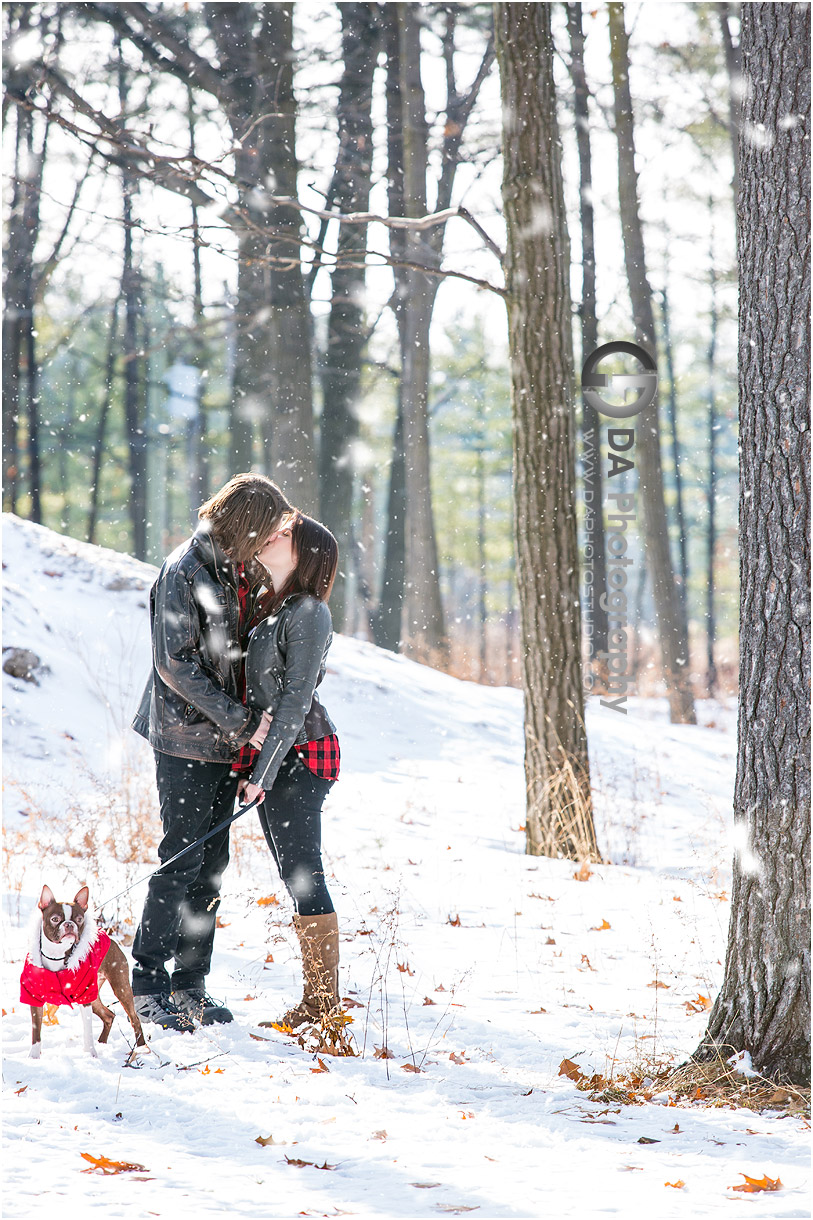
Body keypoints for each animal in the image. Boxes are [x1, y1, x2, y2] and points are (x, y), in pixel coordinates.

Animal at [21, 883, 148, 1063]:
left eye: (79, 919)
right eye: (55, 919)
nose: (69, 924)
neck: (57, 955)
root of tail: (110, 938)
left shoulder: (84, 999)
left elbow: (87, 1031)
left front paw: (90, 1054)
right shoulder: (35, 999)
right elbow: (36, 1031)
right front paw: (33, 1056)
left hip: (120, 988)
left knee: (134, 1019)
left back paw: (141, 1049)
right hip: (95, 995)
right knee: (109, 1015)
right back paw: (102, 1043)